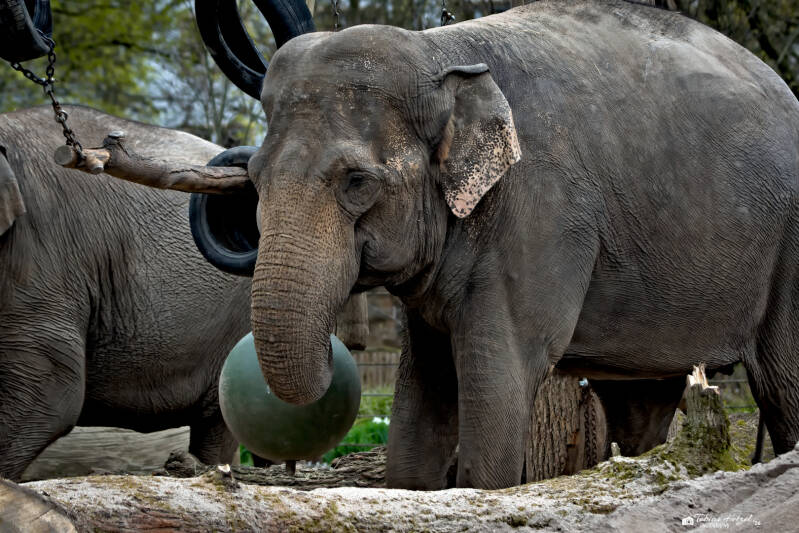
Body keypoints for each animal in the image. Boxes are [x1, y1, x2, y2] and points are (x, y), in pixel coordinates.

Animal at [82, 0, 799, 489]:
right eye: (252, 180)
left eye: (357, 182)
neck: (441, 53)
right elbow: (423, 387)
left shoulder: (541, 210)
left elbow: (497, 373)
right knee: (642, 404)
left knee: (784, 388)